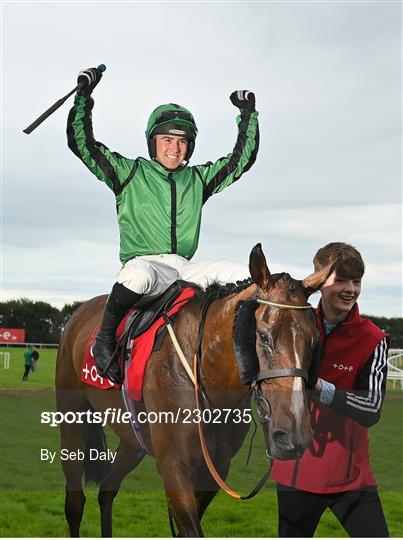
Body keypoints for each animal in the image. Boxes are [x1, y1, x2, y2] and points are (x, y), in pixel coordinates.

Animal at [56, 245, 332, 536]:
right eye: (263, 336)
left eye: (314, 339)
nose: (294, 436)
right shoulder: (174, 465)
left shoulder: (217, 467)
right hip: (72, 423)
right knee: (75, 500)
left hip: (133, 439)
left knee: (108, 488)